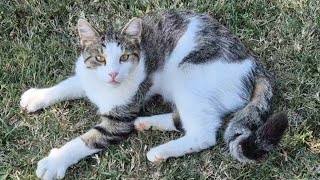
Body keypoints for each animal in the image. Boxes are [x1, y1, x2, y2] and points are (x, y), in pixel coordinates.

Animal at [21, 9, 288, 180]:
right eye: (100, 58)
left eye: (124, 57)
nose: (113, 74)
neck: (104, 88)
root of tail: (255, 64)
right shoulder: (87, 77)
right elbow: (65, 86)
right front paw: (37, 96)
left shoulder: (119, 119)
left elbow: (87, 140)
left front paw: (56, 161)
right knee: (183, 119)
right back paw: (147, 123)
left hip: (189, 72)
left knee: (204, 133)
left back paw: (160, 150)